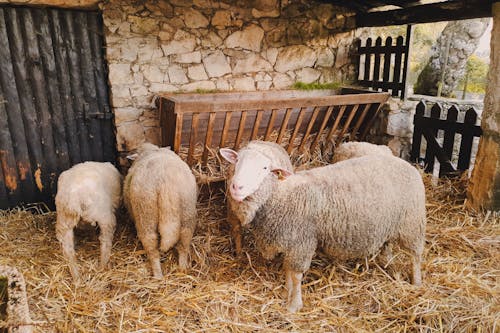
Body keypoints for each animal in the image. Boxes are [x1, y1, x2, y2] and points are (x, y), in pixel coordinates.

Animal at [124, 143, 198, 278]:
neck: (153, 150)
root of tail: (166, 183)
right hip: (187, 209)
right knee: (185, 239)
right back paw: (183, 268)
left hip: (145, 212)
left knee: (151, 244)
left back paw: (157, 274)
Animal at [220, 148, 426, 312]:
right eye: (236, 161)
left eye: (264, 168)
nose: (236, 187)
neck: (281, 196)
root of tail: (407, 164)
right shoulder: (292, 243)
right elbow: (288, 271)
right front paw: (287, 293)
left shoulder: (302, 242)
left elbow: (296, 275)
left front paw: (294, 305)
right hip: (390, 223)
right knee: (388, 245)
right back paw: (388, 264)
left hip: (412, 223)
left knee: (415, 255)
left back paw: (416, 282)